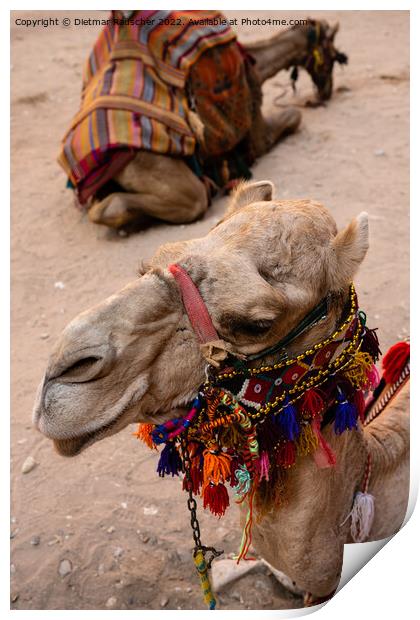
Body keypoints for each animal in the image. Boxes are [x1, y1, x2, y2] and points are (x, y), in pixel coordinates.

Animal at [60, 13, 348, 229]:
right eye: (333, 55)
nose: (326, 90)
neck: (255, 63)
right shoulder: (256, 129)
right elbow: (293, 117)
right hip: (152, 165)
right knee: (191, 199)